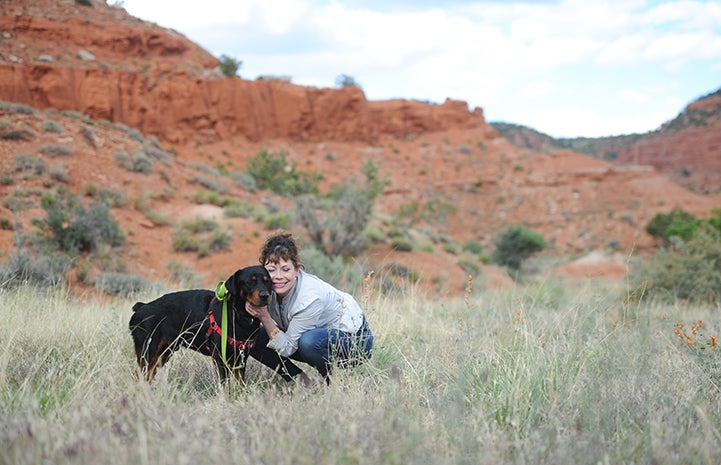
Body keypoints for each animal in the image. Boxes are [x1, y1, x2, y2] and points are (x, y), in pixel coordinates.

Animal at [128, 264, 272, 384]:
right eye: (250, 282)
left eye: (267, 281)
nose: (265, 295)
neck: (239, 315)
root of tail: (141, 307)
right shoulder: (220, 358)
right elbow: (225, 385)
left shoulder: (242, 358)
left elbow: (240, 384)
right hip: (148, 352)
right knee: (138, 375)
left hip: (164, 353)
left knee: (148, 375)